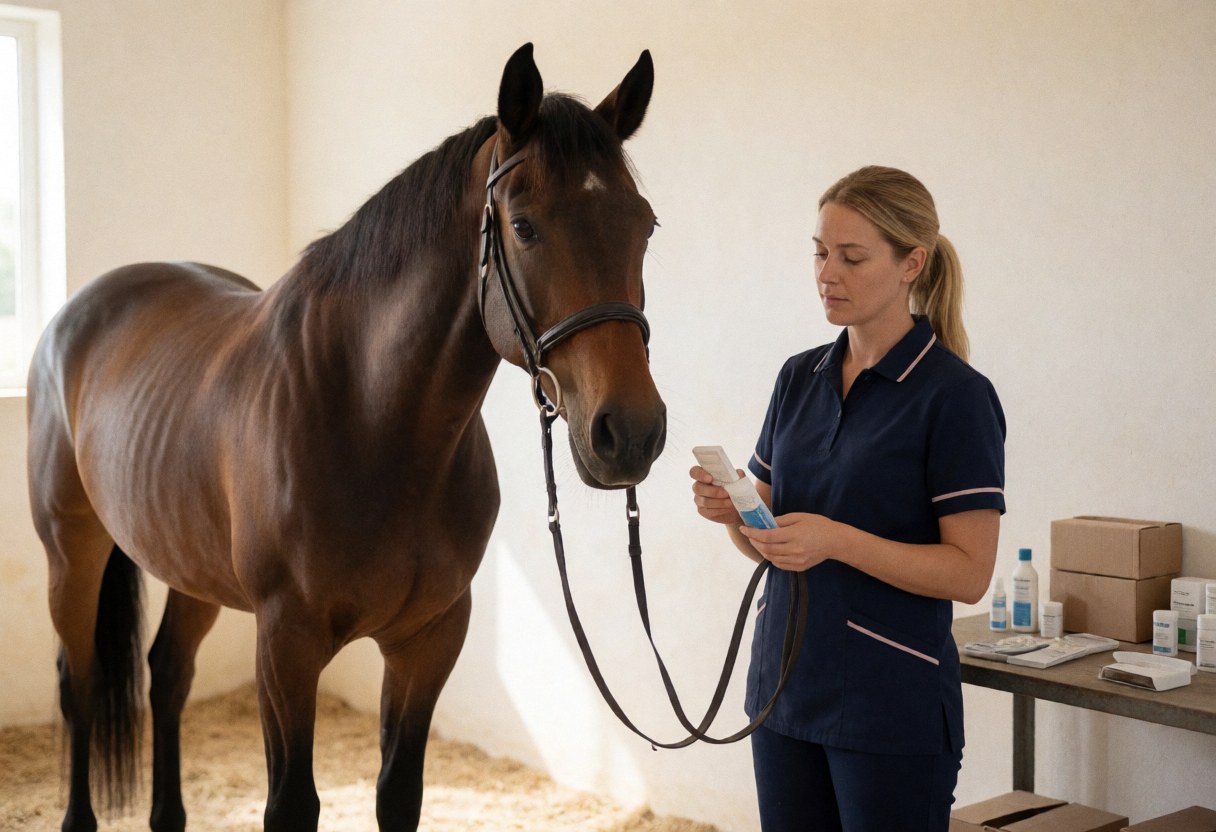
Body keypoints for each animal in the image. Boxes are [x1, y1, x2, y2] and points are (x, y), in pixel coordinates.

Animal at [26, 43, 666, 832]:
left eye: (644, 225)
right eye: (523, 226)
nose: (630, 431)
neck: (375, 425)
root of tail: (77, 313)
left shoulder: (430, 638)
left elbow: (398, 794)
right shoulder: (286, 645)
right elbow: (291, 803)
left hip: (190, 564)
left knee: (168, 674)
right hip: (72, 550)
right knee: (78, 681)